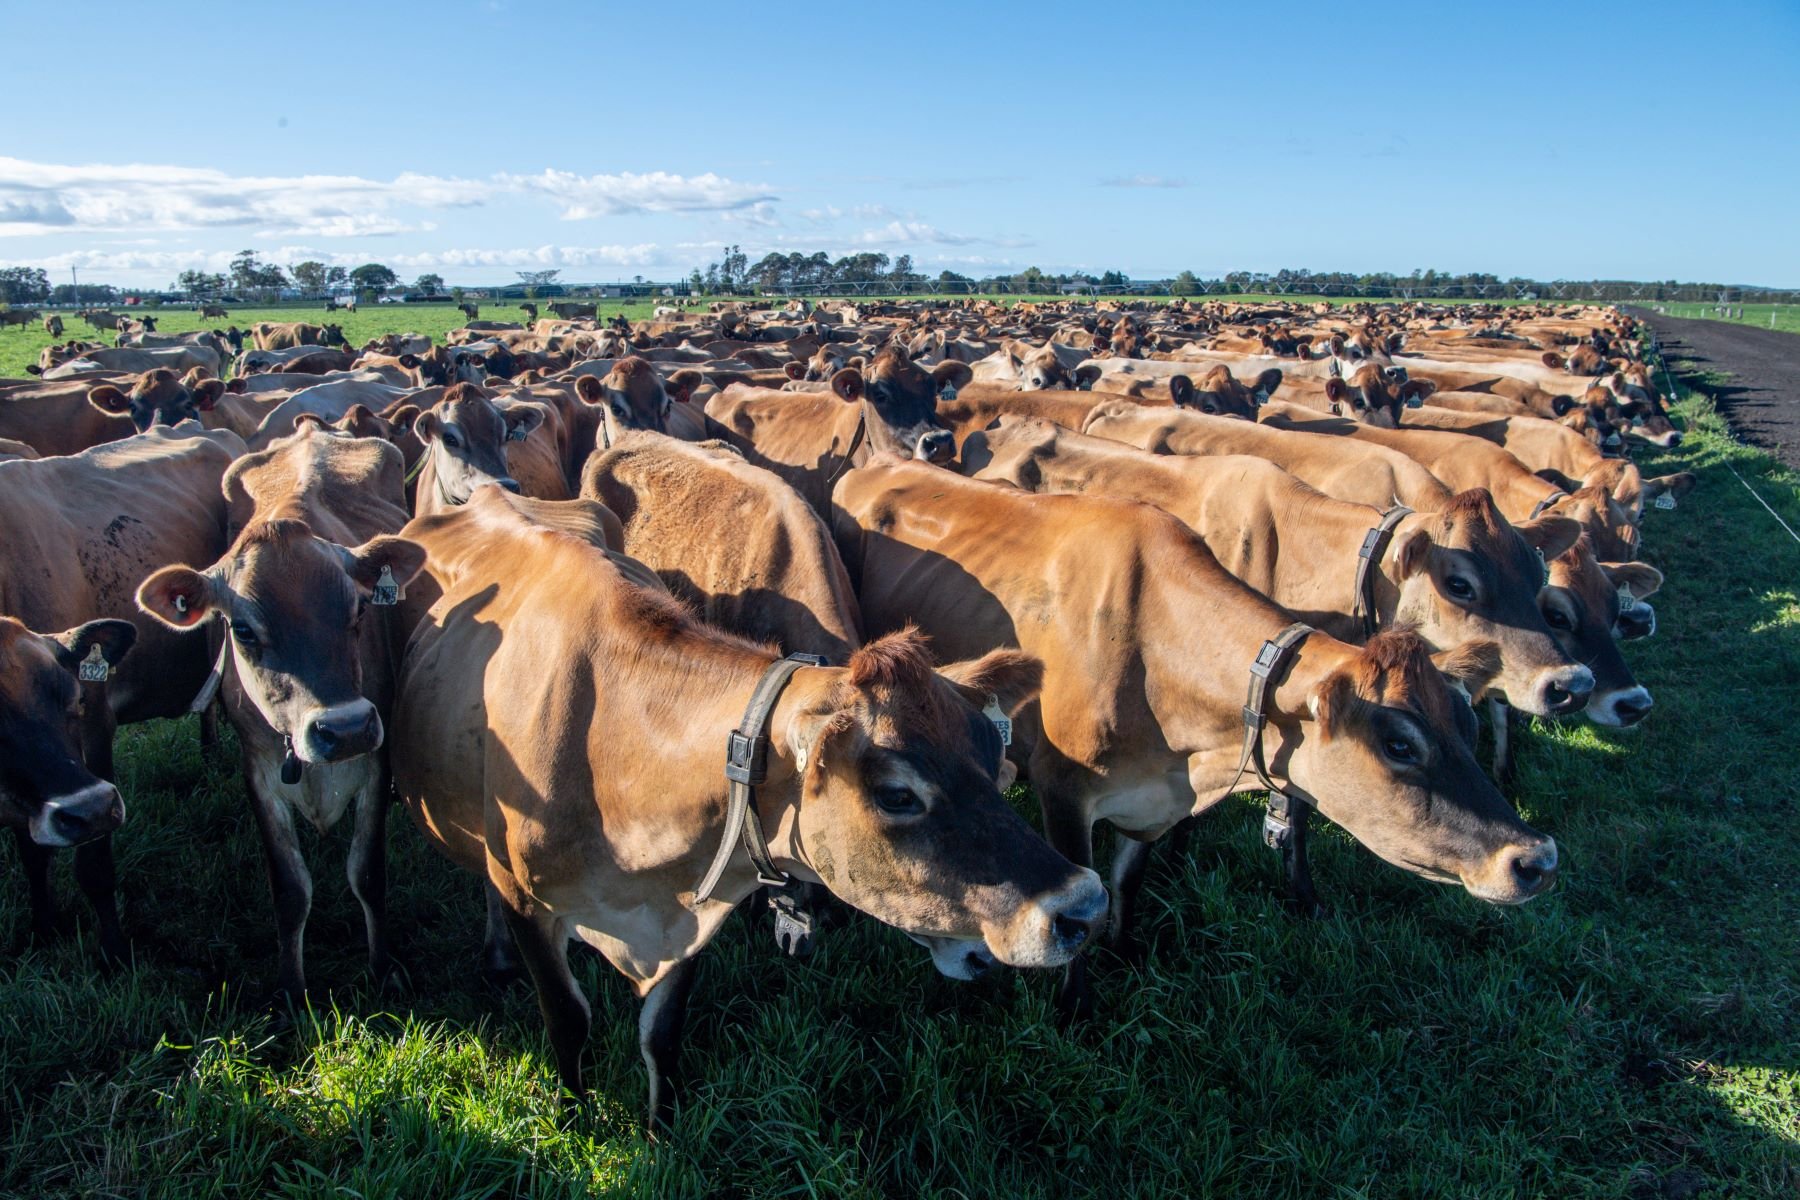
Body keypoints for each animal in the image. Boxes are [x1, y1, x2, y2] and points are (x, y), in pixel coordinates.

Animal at [0, 425, 242, 963]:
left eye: (72, 698)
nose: (87, 810)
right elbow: (33, 854)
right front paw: (43, 927)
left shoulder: (94, 731)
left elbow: (94, 865)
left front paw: (112, 952)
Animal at [136, 424, 425, 998]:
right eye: (244, 630)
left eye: (359, 609)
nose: (345, 729)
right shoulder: (260, 773)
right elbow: (290, 889)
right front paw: (291, 989)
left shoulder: (374, 762)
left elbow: (367, 873)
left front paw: (382, 966)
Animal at [389, 485, 1107, 1123]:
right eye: (897, 794)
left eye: (993, 765)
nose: (1086, 906)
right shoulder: (529, 902)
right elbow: (568, 1021)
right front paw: (571, 1118)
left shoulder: (694, 905)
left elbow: (662, 1031)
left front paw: (664, 1129)